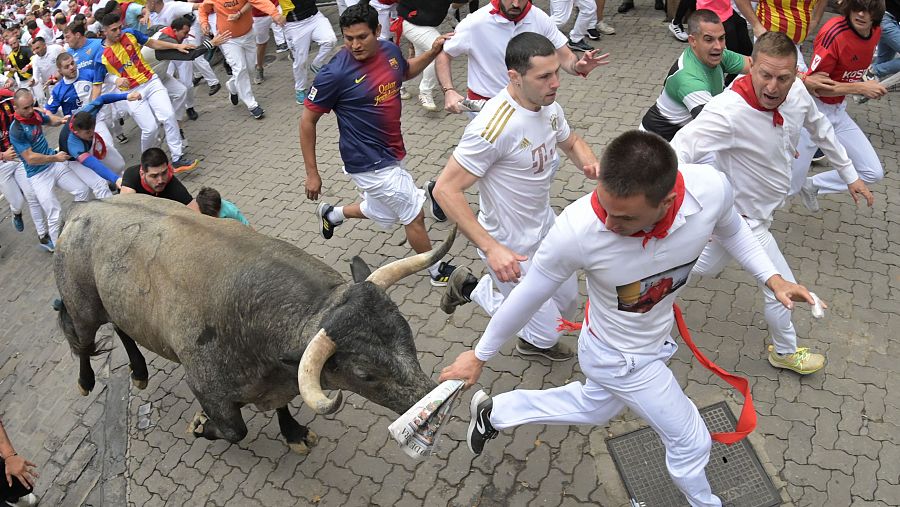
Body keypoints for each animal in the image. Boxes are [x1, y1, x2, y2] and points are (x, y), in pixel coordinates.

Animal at [52, 196, 454, 454]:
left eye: (408, 335)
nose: (436, 403)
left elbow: (281, 406)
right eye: (365, 373)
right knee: (82, 343)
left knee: (122, 330)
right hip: (82, 308)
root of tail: (81, 208)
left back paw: (138, 371)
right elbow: (234, 430)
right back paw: (87, 381)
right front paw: (201, 426)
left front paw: (293, 433)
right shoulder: (205, 386)